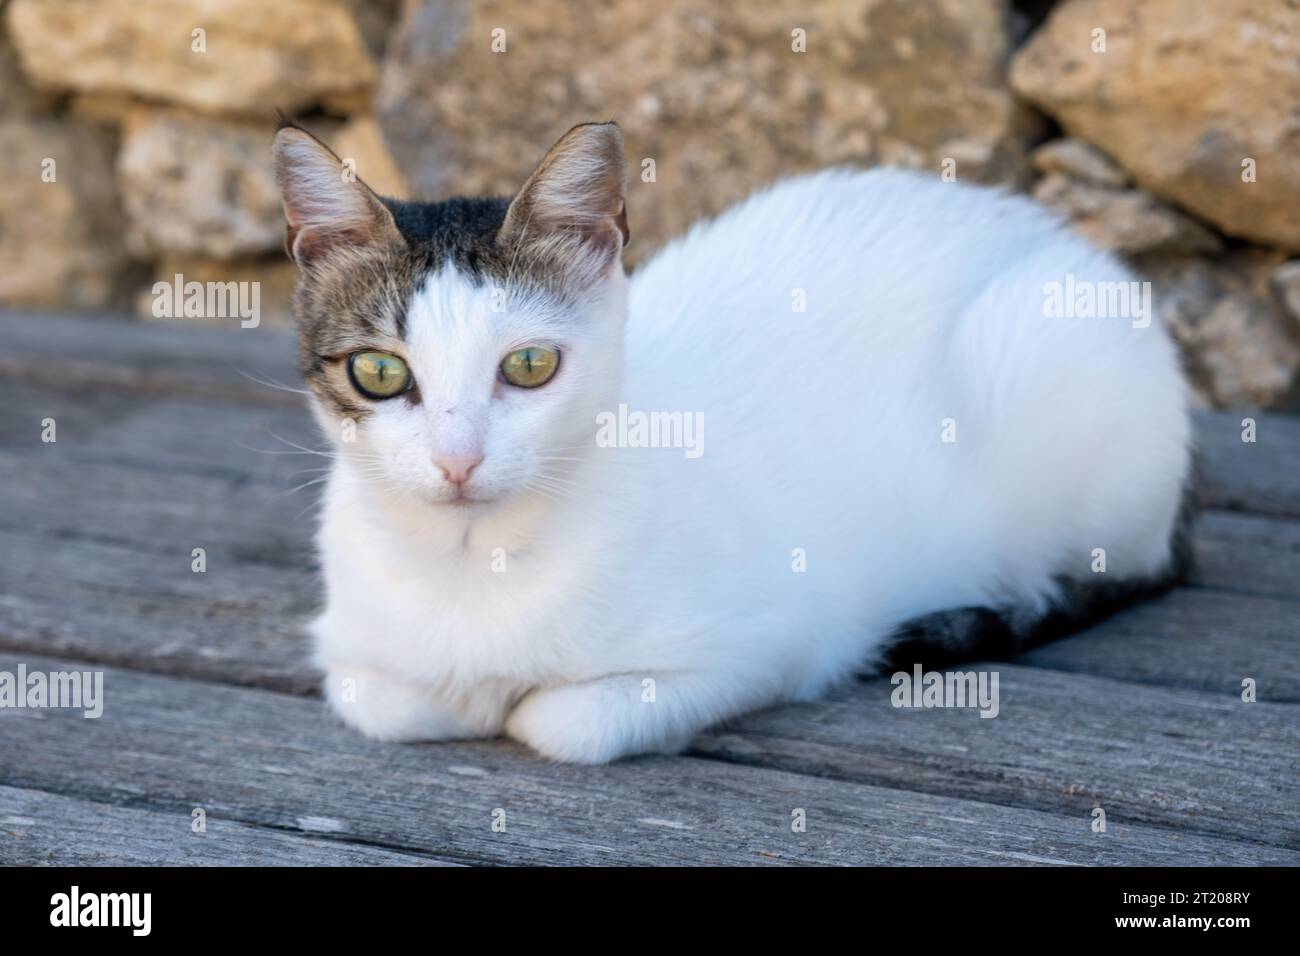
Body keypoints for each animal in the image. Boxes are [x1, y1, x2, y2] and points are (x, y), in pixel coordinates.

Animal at [271, 117, 1190, 764]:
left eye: (529, 365)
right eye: (380, 373)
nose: (457, 461)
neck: (471, 566)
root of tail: (1056, 232)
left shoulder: (785, 643)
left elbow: (562, 719)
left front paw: (508, 701)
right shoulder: (348, 647)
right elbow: (377, 696)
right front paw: (461, 694)